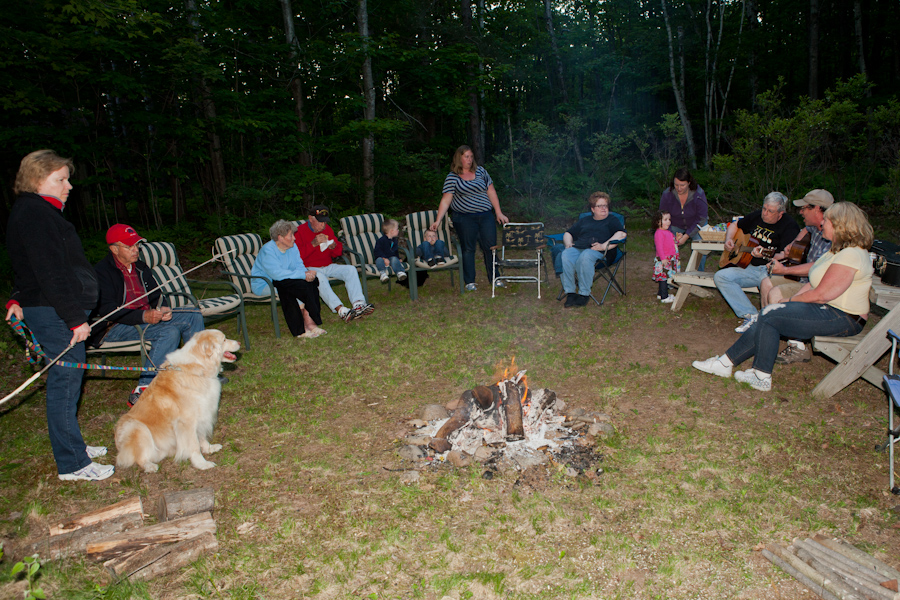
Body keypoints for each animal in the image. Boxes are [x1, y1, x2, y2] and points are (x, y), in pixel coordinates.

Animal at [115, 328, 239, 474]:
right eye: (224, 339)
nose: (239, 342)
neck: (198, 367)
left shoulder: (202, 415)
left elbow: (201, 437)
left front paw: (208, 448)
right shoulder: (187, 422)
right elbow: (194, 445)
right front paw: (201, 464)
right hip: (137, 428)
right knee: (139, 458)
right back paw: (149, 466)